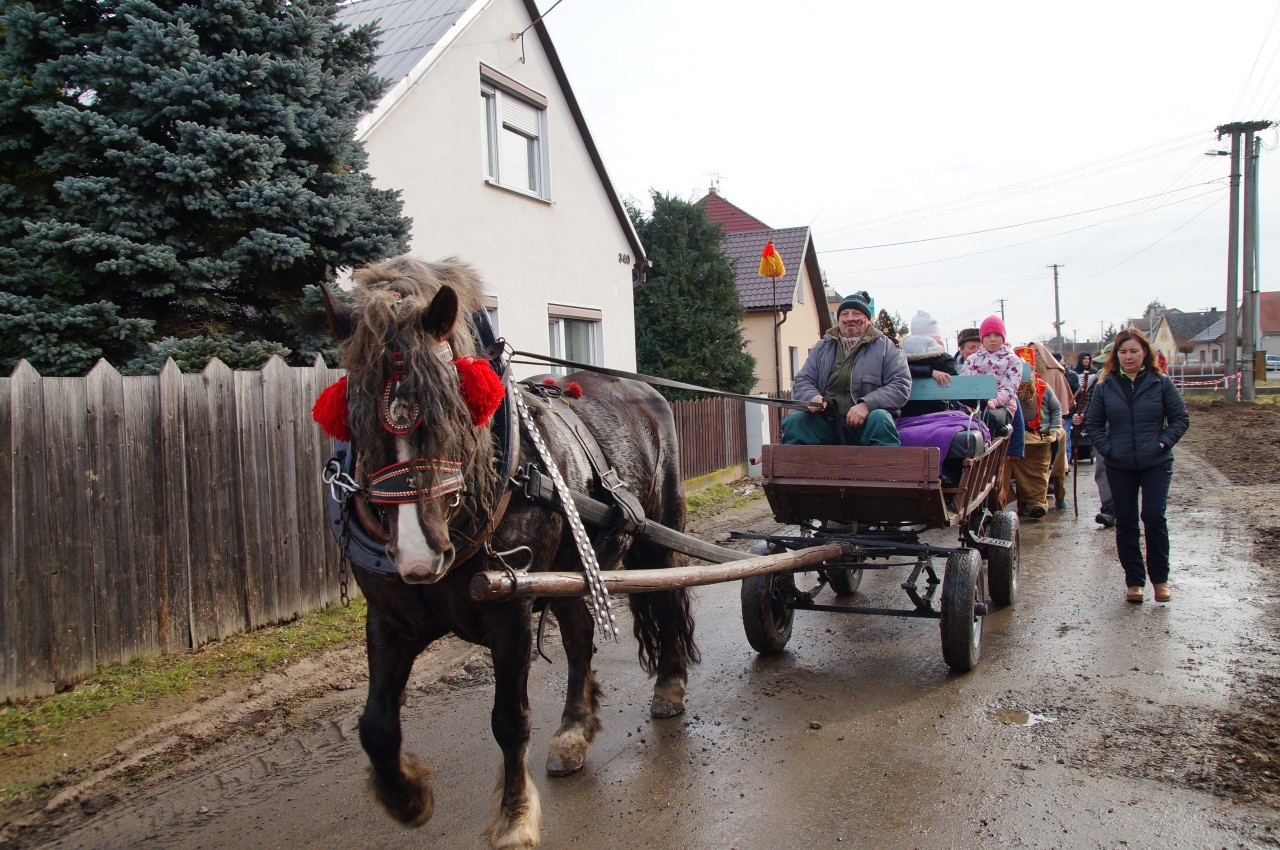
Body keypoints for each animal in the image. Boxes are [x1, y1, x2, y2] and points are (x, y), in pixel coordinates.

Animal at [321, 256, 698, 850]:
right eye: (355, 413)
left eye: (452, 404)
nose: (418, 556)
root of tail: (642, 389)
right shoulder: (389, 618)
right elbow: (376, 725)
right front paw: (406, 798)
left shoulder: (511, 611)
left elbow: (510, 718)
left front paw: (516, 816)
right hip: (569, 571)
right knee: (580, 639)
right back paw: (573, 731)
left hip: (656, 540)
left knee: (667, 601)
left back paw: (669, 685)